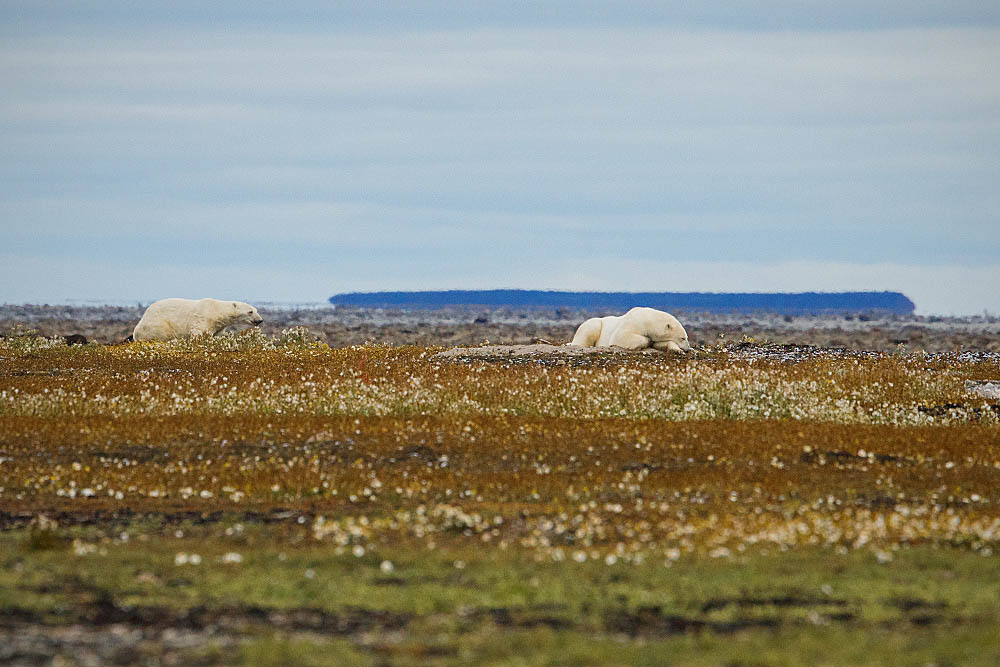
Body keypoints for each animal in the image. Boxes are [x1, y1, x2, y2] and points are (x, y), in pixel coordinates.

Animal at [133, 298, 266, 342]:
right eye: (250, 311)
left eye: (257, 310)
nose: (260, 320)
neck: (216, 309)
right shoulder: (203, 317)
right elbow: (198, 332)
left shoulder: (218, 326)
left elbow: (217, 334)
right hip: (157, 324)